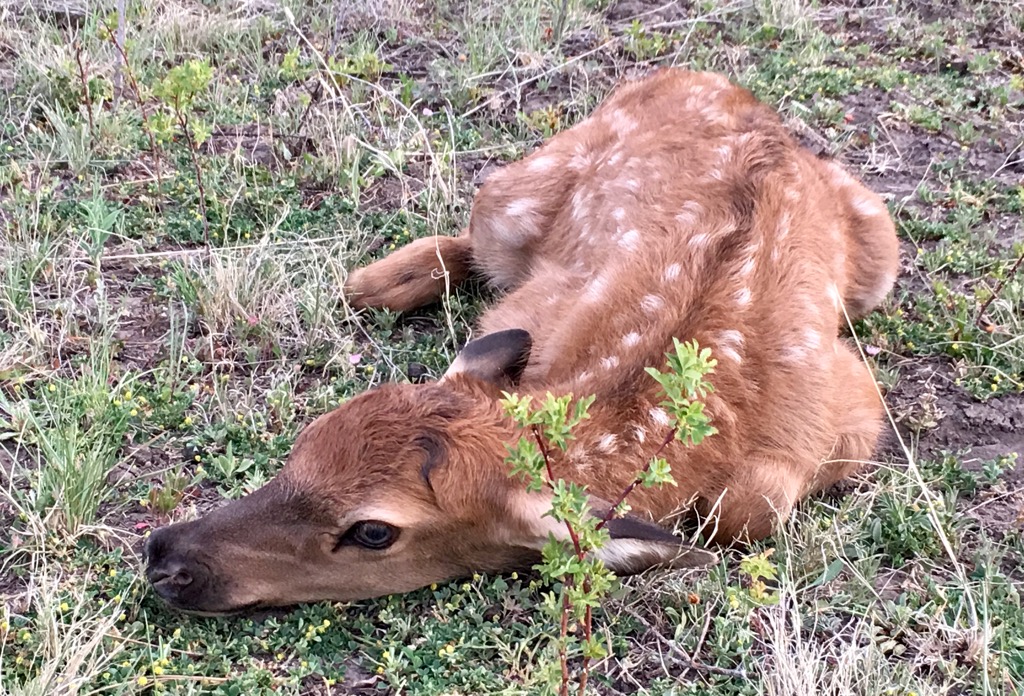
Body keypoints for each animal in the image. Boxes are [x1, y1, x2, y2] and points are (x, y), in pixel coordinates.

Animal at [145, 68, 899, 615]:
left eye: (373, 532)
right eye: (304, 441)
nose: (165, 556)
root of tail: (738, 95)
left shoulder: (852, 407)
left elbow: (746, 512)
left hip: (881, 250)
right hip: (513, 197)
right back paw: (376, 279)